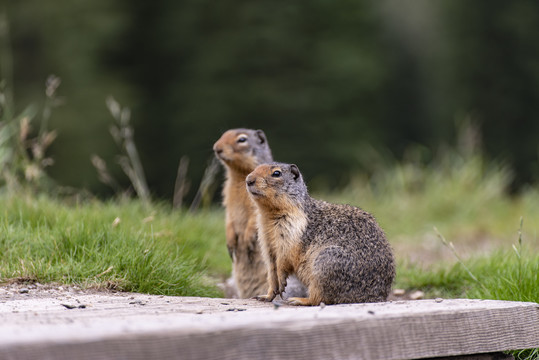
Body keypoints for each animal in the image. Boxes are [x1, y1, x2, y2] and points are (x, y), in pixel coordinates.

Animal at [215, 129, 308, 298]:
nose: (216, 148)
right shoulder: (228, 199)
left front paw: (246, 242)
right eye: (223, 134)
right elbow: (229, 219)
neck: (238, 175)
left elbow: (253, 220)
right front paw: (231, 244)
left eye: (242, 139)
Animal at [247, 162, 394, 306]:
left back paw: (298, 300)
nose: (249, 180)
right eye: (256, 168)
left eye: (276, 173)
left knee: (319, 298)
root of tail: (377, 296)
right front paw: (265, 296)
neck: (269, 215)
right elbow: (271, 270)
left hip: (325, 264)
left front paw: (282, 282)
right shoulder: (266, 241)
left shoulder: (291, 232)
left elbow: (284, 258)